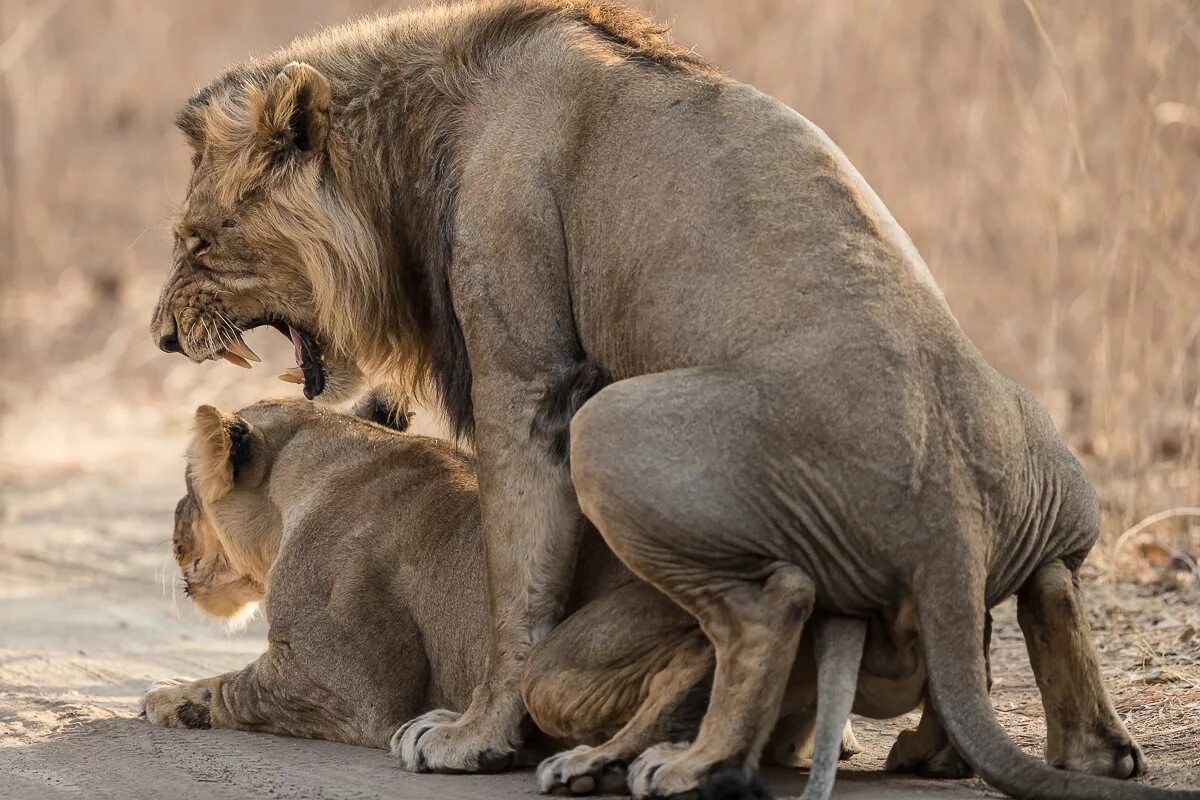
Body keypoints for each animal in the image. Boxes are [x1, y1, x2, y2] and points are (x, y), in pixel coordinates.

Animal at [142, 3, 1190, 796]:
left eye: (197, 240)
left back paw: (684, 765)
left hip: (611, 428)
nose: (159, 336)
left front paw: (474, 738)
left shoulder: (529, 378)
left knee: (769, 607)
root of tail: (952, 530)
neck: (423, 134)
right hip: (1044, 452)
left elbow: (517, 579)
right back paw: (1030, 752)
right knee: (1048, 586)